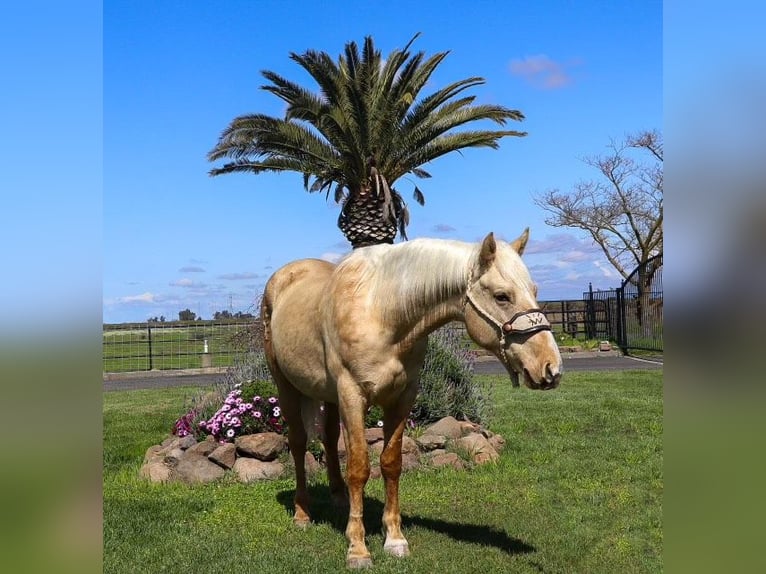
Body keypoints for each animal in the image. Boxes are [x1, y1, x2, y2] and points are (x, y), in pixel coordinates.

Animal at [264, 231, 564, 572]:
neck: (381, 313)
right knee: (299, 443)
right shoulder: (352, 396)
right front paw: (358, 549)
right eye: (502, 296)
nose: (551, 368)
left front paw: (394, 540)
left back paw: (340, 499)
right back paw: (302, 513)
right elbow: (359, 467)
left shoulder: (402, 397)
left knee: (328, 438)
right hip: (287, 387)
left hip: (327, 395)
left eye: (535, 291)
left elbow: (391, 464)